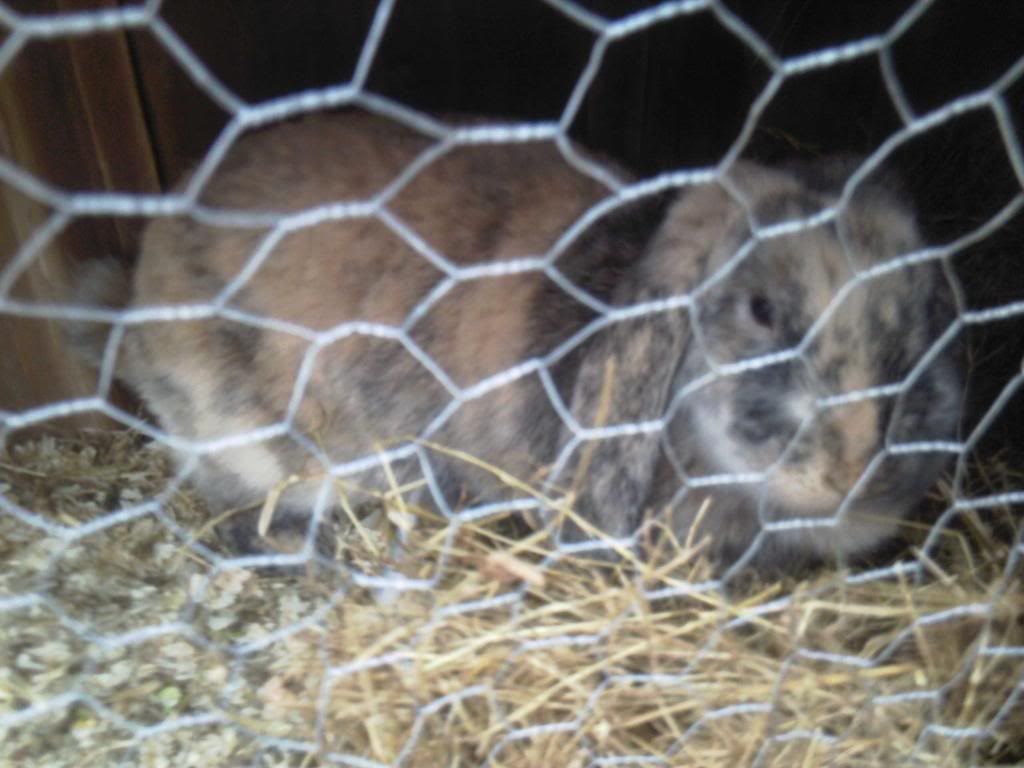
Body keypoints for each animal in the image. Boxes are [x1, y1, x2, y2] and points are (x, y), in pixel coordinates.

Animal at [66, 110, 963, 572]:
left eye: (929, 314)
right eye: (762, 310)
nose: (855, 471)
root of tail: (133, 302)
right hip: (257, 445)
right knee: (240, 513)